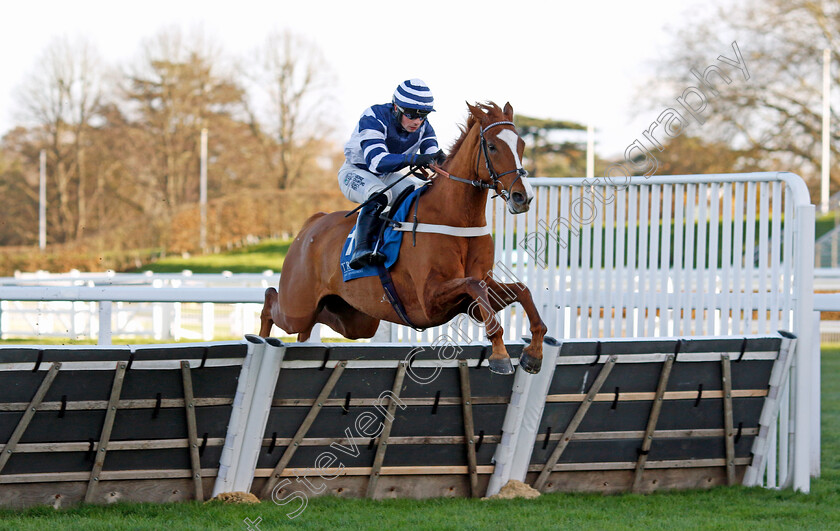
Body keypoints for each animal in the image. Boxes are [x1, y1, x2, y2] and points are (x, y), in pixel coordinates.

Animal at [262, 101, 552, 374]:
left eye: (522, 144)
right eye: (492, 146)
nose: (522, 197)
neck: (455, 217)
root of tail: (312, 224)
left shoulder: (479, 290)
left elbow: (521, 291)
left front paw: (534, 353)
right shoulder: (429, 300)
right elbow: (474, 285)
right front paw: (501, 355)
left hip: (356, 318)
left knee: (316, 320)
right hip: (297, 306)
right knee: (271, 302)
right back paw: (262, 339)